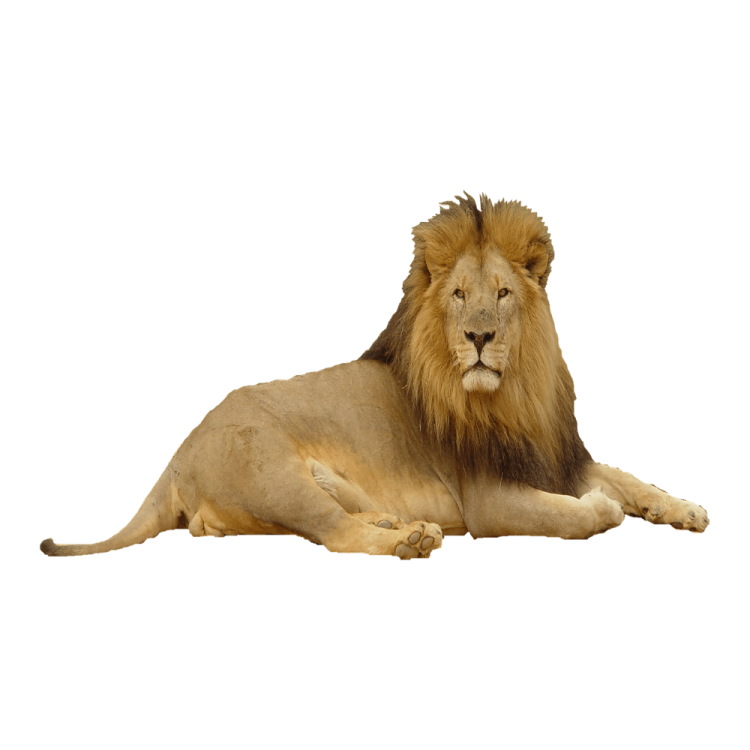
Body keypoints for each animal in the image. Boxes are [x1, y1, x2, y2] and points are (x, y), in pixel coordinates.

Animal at [39, 191, 709, 559]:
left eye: (501, 294)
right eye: (459, 296)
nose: (480, 338)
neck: (516, 393)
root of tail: (179, 452)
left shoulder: (554, 457)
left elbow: (629, 477)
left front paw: (685, 510)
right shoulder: (489, 499)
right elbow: (576, 514)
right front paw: (603, 510)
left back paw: (399, 523)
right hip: (272, 476)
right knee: (334, 532)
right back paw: (409, 541)